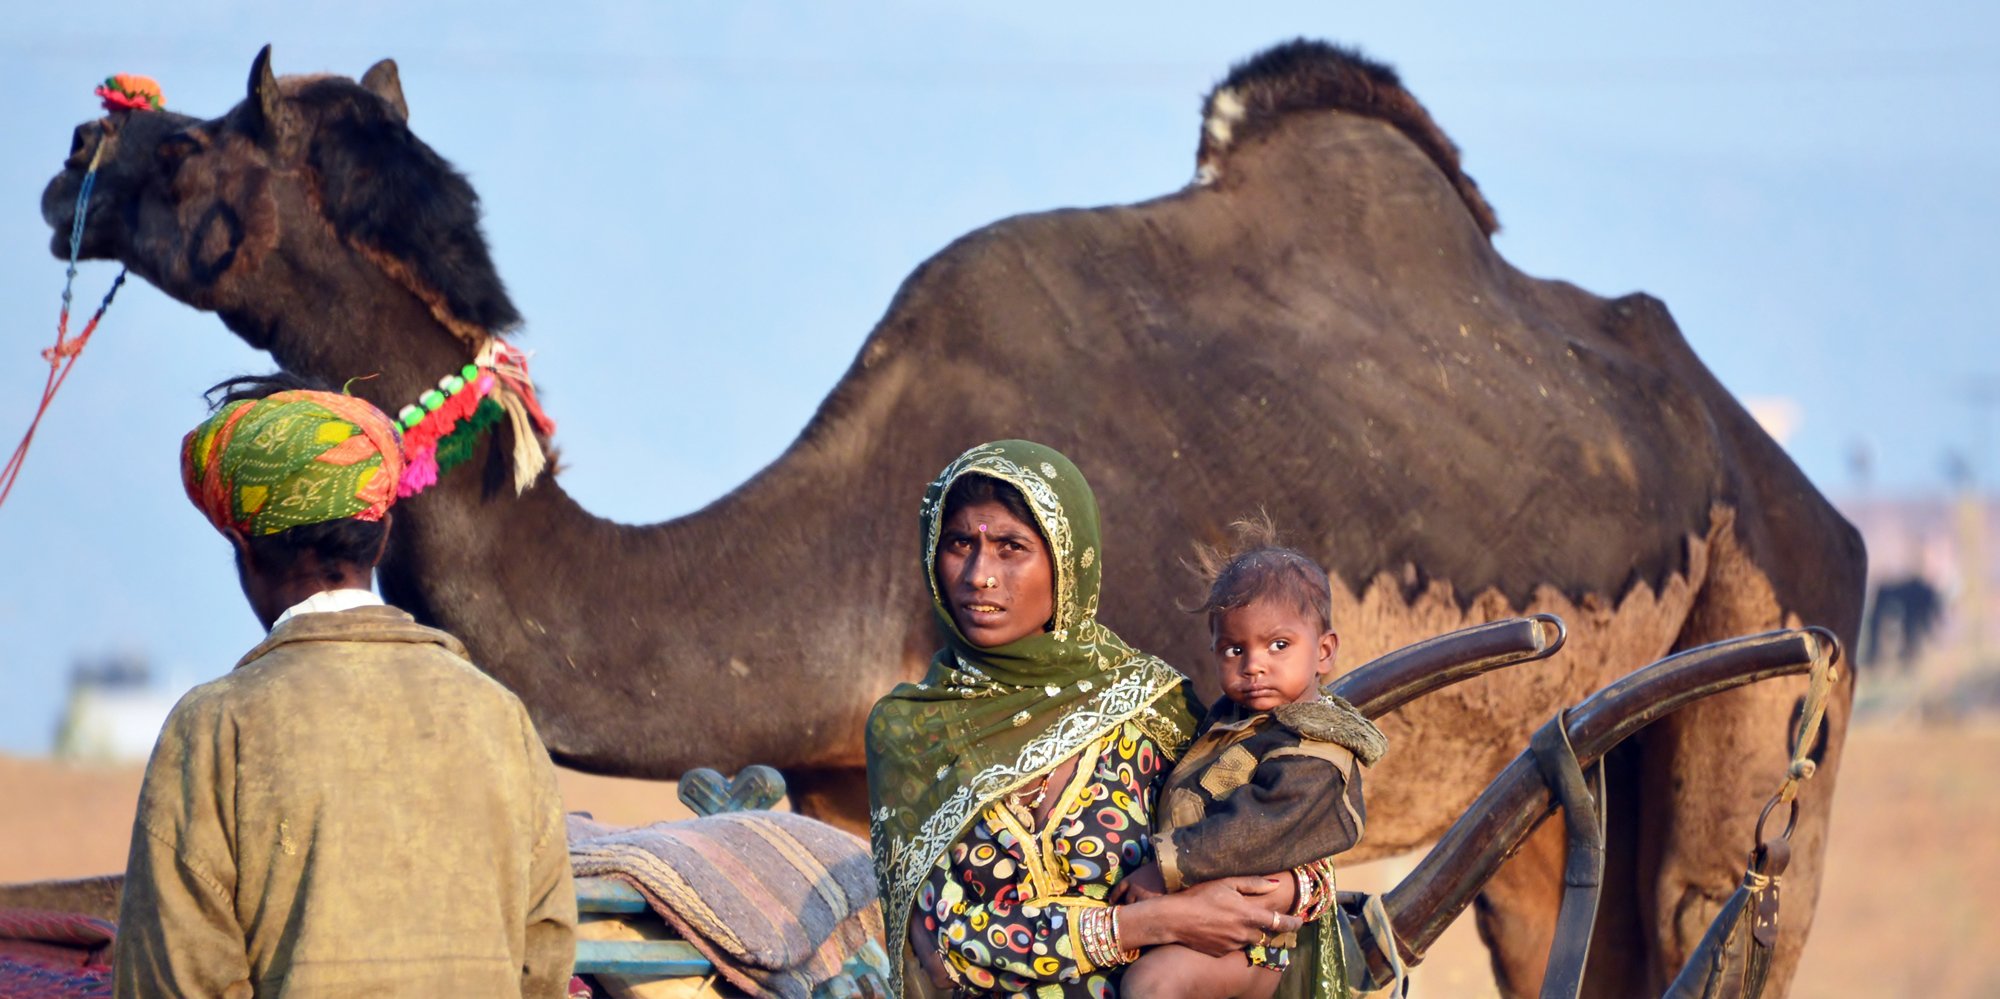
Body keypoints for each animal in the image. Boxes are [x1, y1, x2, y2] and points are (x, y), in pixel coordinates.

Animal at [39, 42, 1864, 995]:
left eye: (198, 146)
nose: (73, 156)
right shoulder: (854, 770)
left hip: (1784, 639)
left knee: (1717, 898)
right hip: (1574, 751)